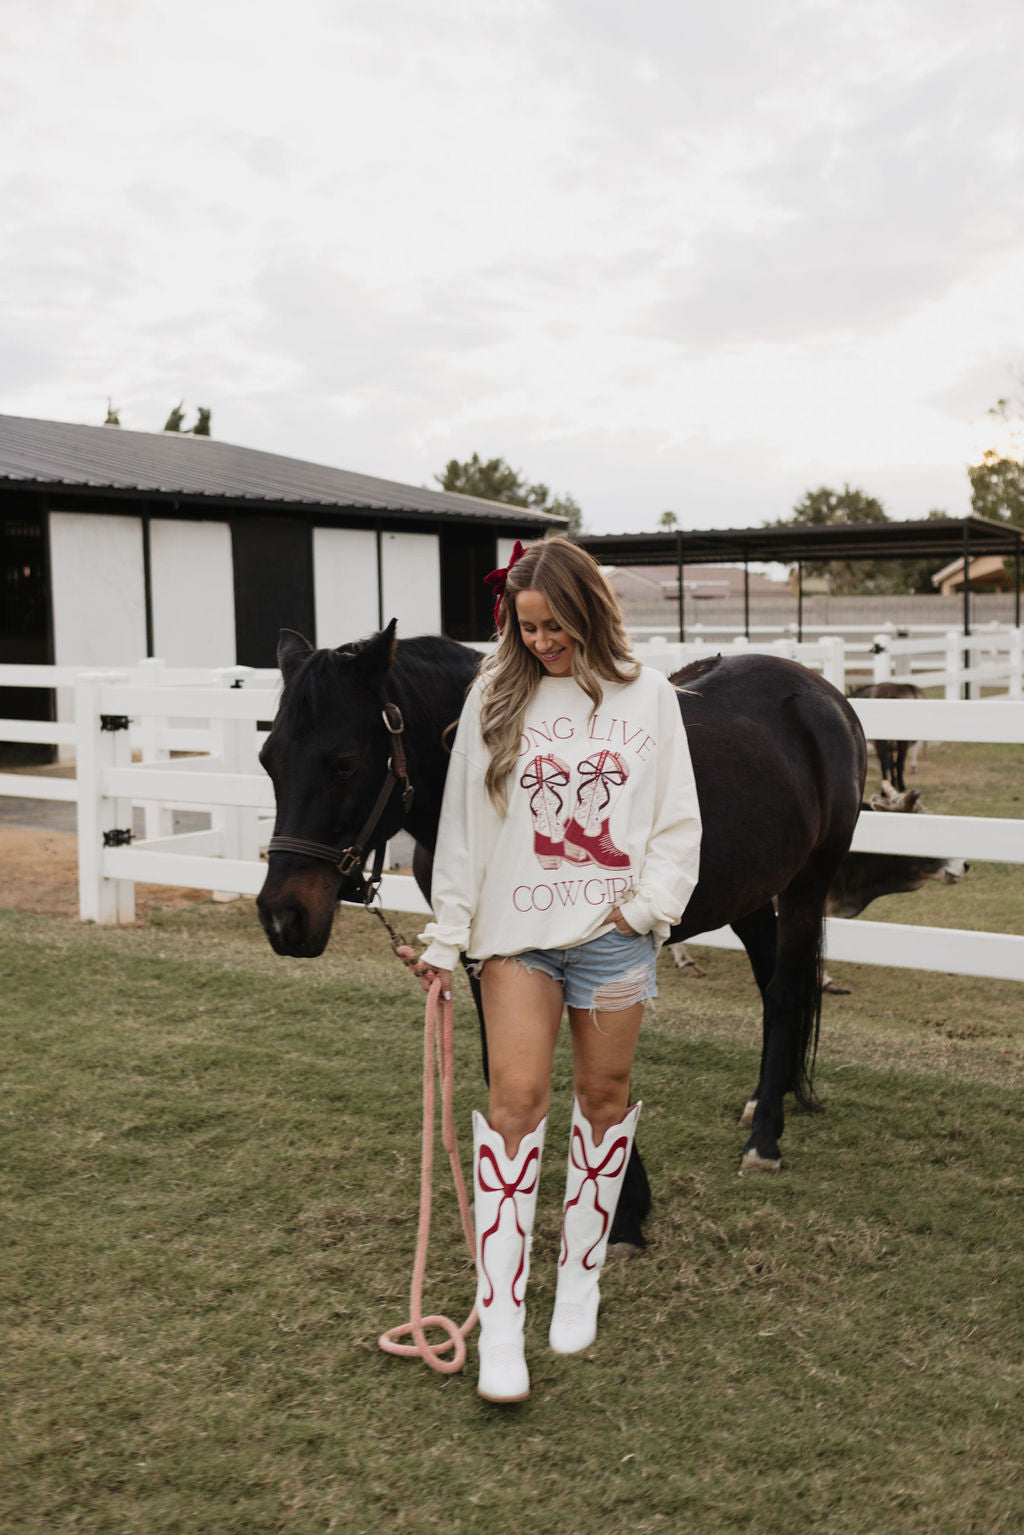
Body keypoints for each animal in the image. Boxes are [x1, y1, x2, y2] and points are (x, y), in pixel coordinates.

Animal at [256, 626, 865, 1246]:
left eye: (344, 764)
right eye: (268, 760)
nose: (283, 917)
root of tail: (818, 692)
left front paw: (623, 1208)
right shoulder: (486, 956)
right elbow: (501, 1061)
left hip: (806, 885)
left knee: (786, 994)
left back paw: (764, 1139)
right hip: (753, 896)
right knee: (771, 989)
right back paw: (770, 1099)